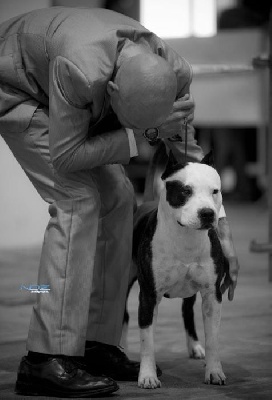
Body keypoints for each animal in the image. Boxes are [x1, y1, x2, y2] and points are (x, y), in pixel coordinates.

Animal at [131, 147, 228, 388]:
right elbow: (147, 340)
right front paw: (148, 376)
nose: (207, 213)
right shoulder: (148, 295)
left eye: (215, 191)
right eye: (186, 190)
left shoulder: (212, 295)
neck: (185, 236)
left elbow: (213, 339)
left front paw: (214, 371)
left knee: (186, 312)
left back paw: (194, 347)